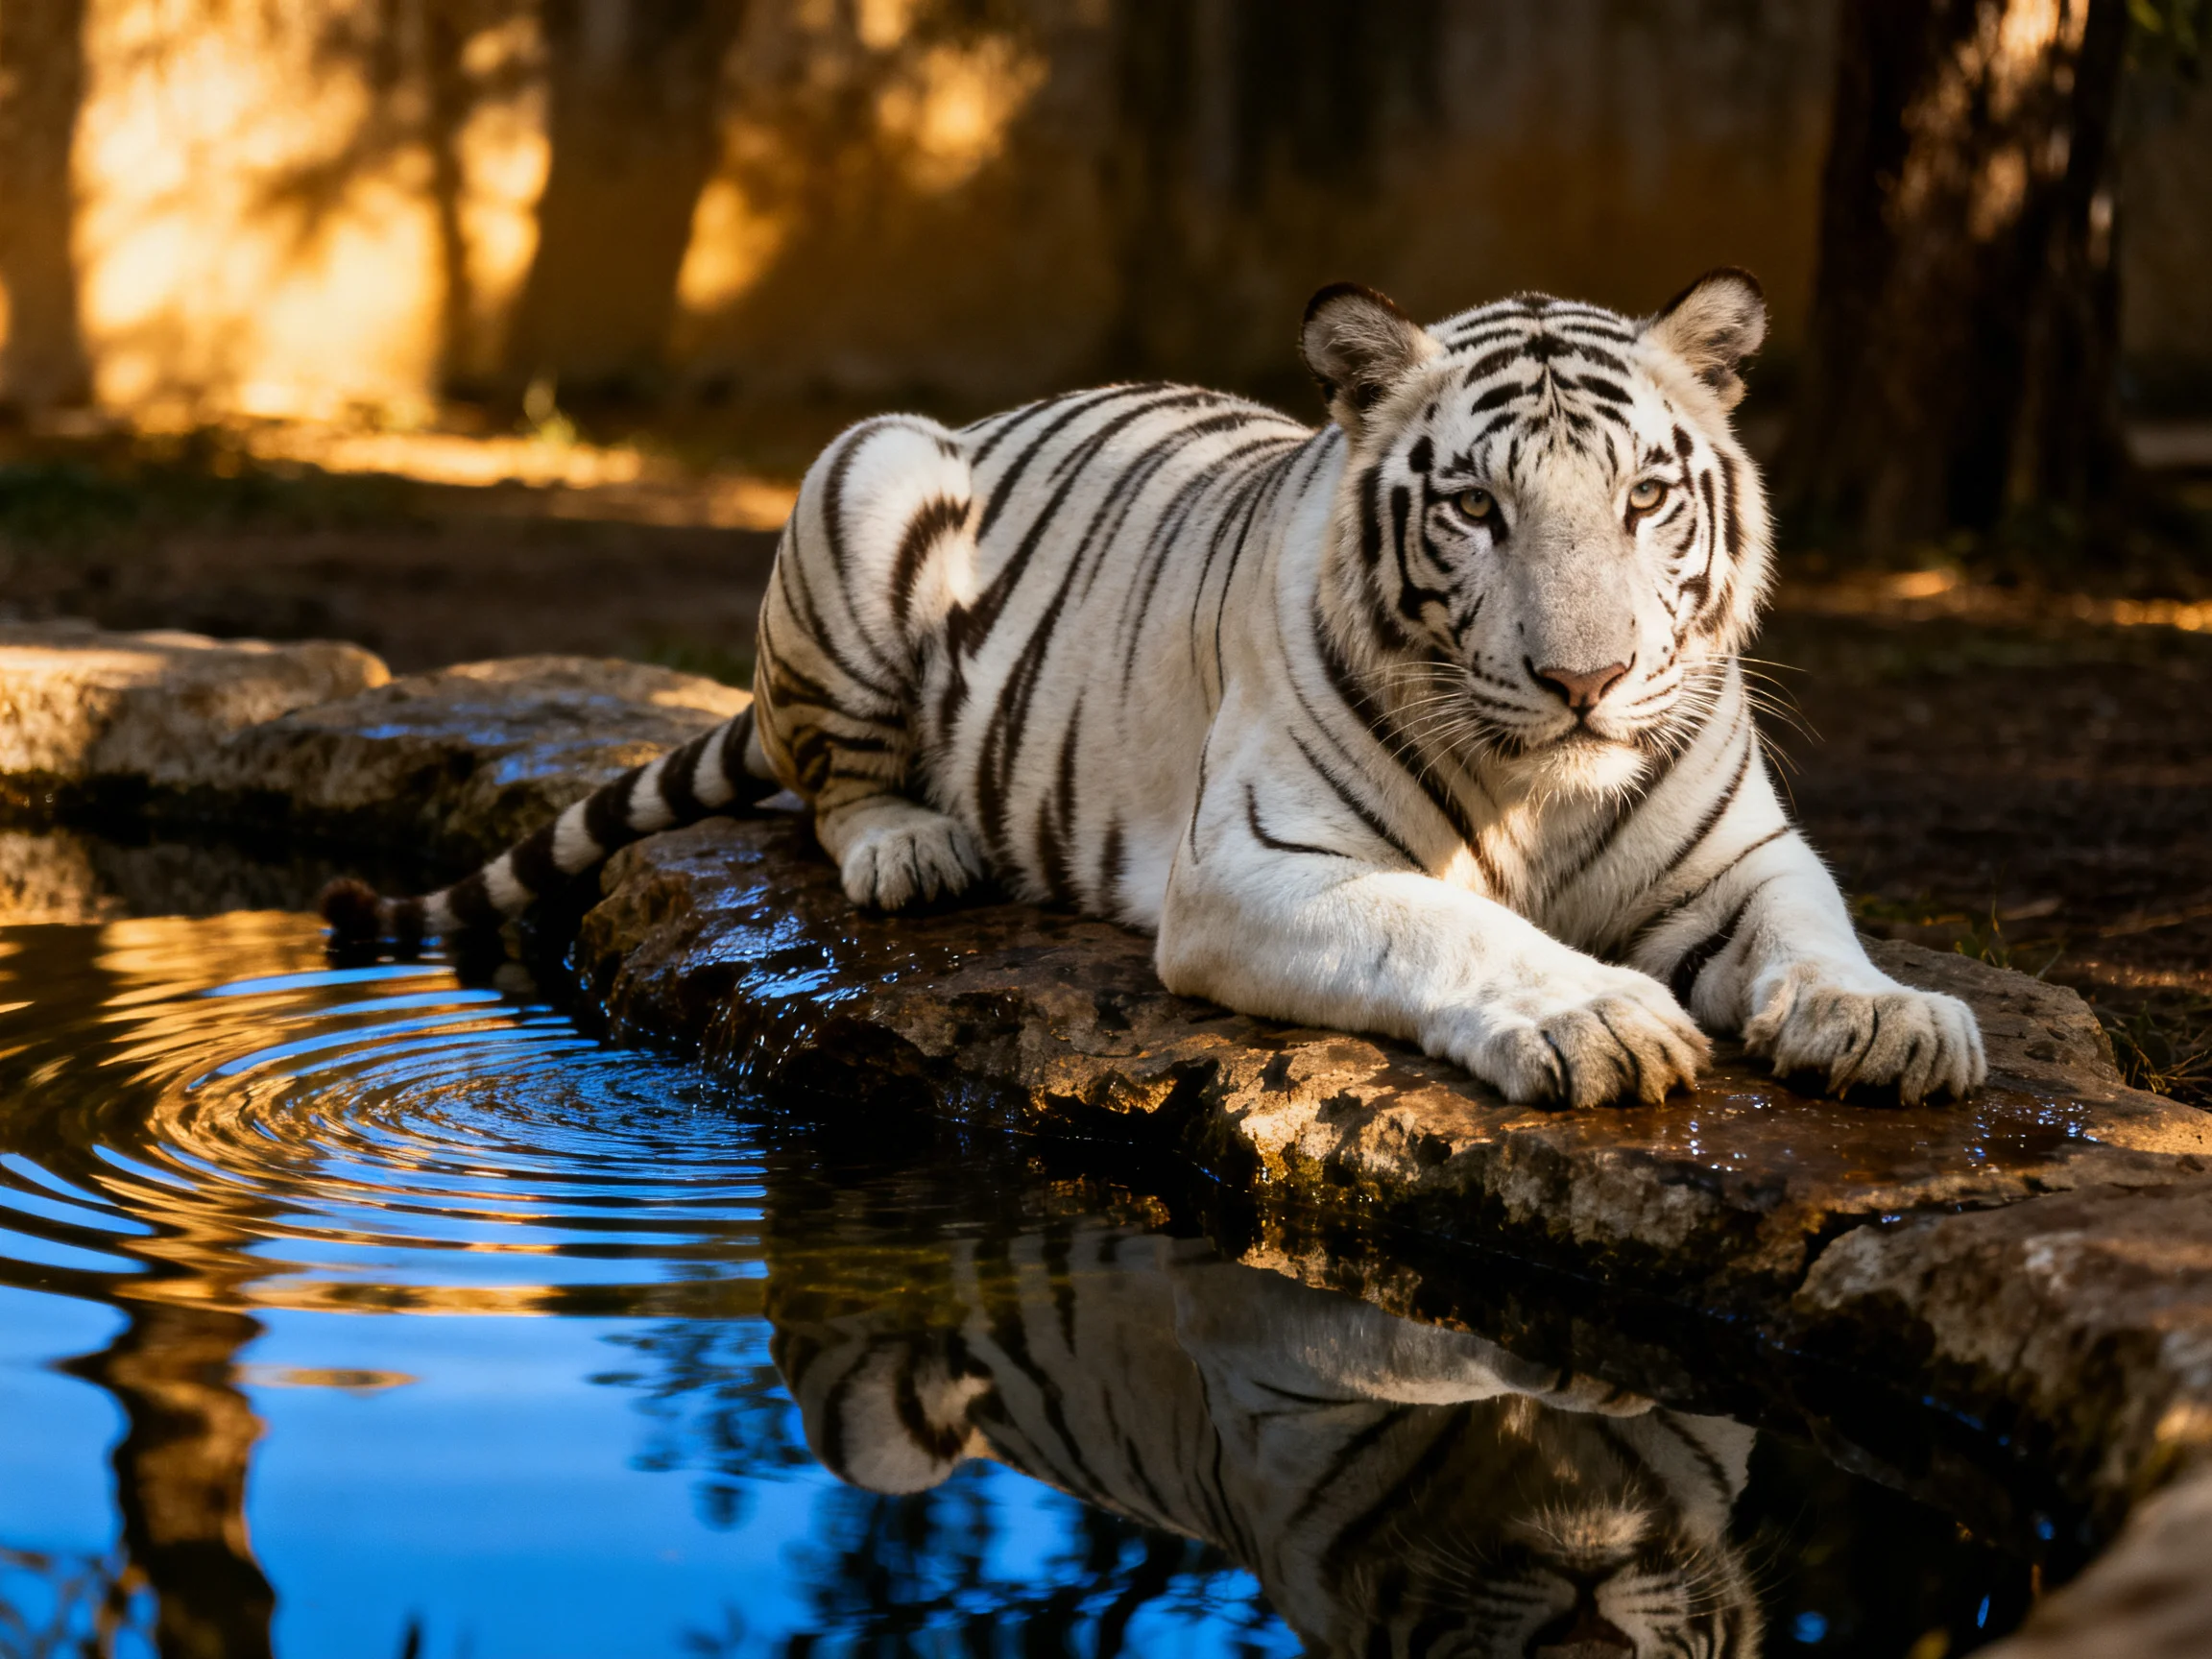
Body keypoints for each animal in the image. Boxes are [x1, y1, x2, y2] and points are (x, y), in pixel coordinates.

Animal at [323, 267, 1985, 1109]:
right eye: (1475, 509)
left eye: (1645, 499)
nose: (1587, 679)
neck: (1544, 793)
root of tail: (1000, 408)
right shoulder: (1260, 865)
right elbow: (1449, 925)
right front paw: (1598, 1017)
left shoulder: (1742, 857)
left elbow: (1816, 931)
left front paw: (1889, 1020)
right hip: (868, 463)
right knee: (828, 782)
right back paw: (915, 847)